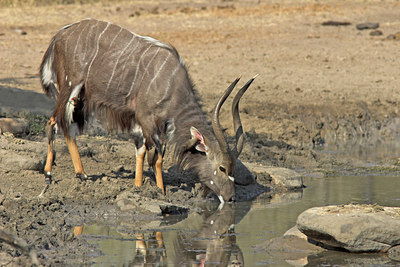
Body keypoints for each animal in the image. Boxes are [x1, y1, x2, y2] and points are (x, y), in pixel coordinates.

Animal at [39, 18, 255, 203]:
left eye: (234, 168)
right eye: (222, 167)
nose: (231, 198)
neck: (171, 83)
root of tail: (60, 34)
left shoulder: (143, 123)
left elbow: (141, 151)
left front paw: (138, 186)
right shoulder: (147, 120)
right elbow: (157, 158)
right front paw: (161, 191)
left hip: (79, 98)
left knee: (68, 127)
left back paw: (81, 174)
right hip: (69, 86)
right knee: (54, 123)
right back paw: (49, 175)